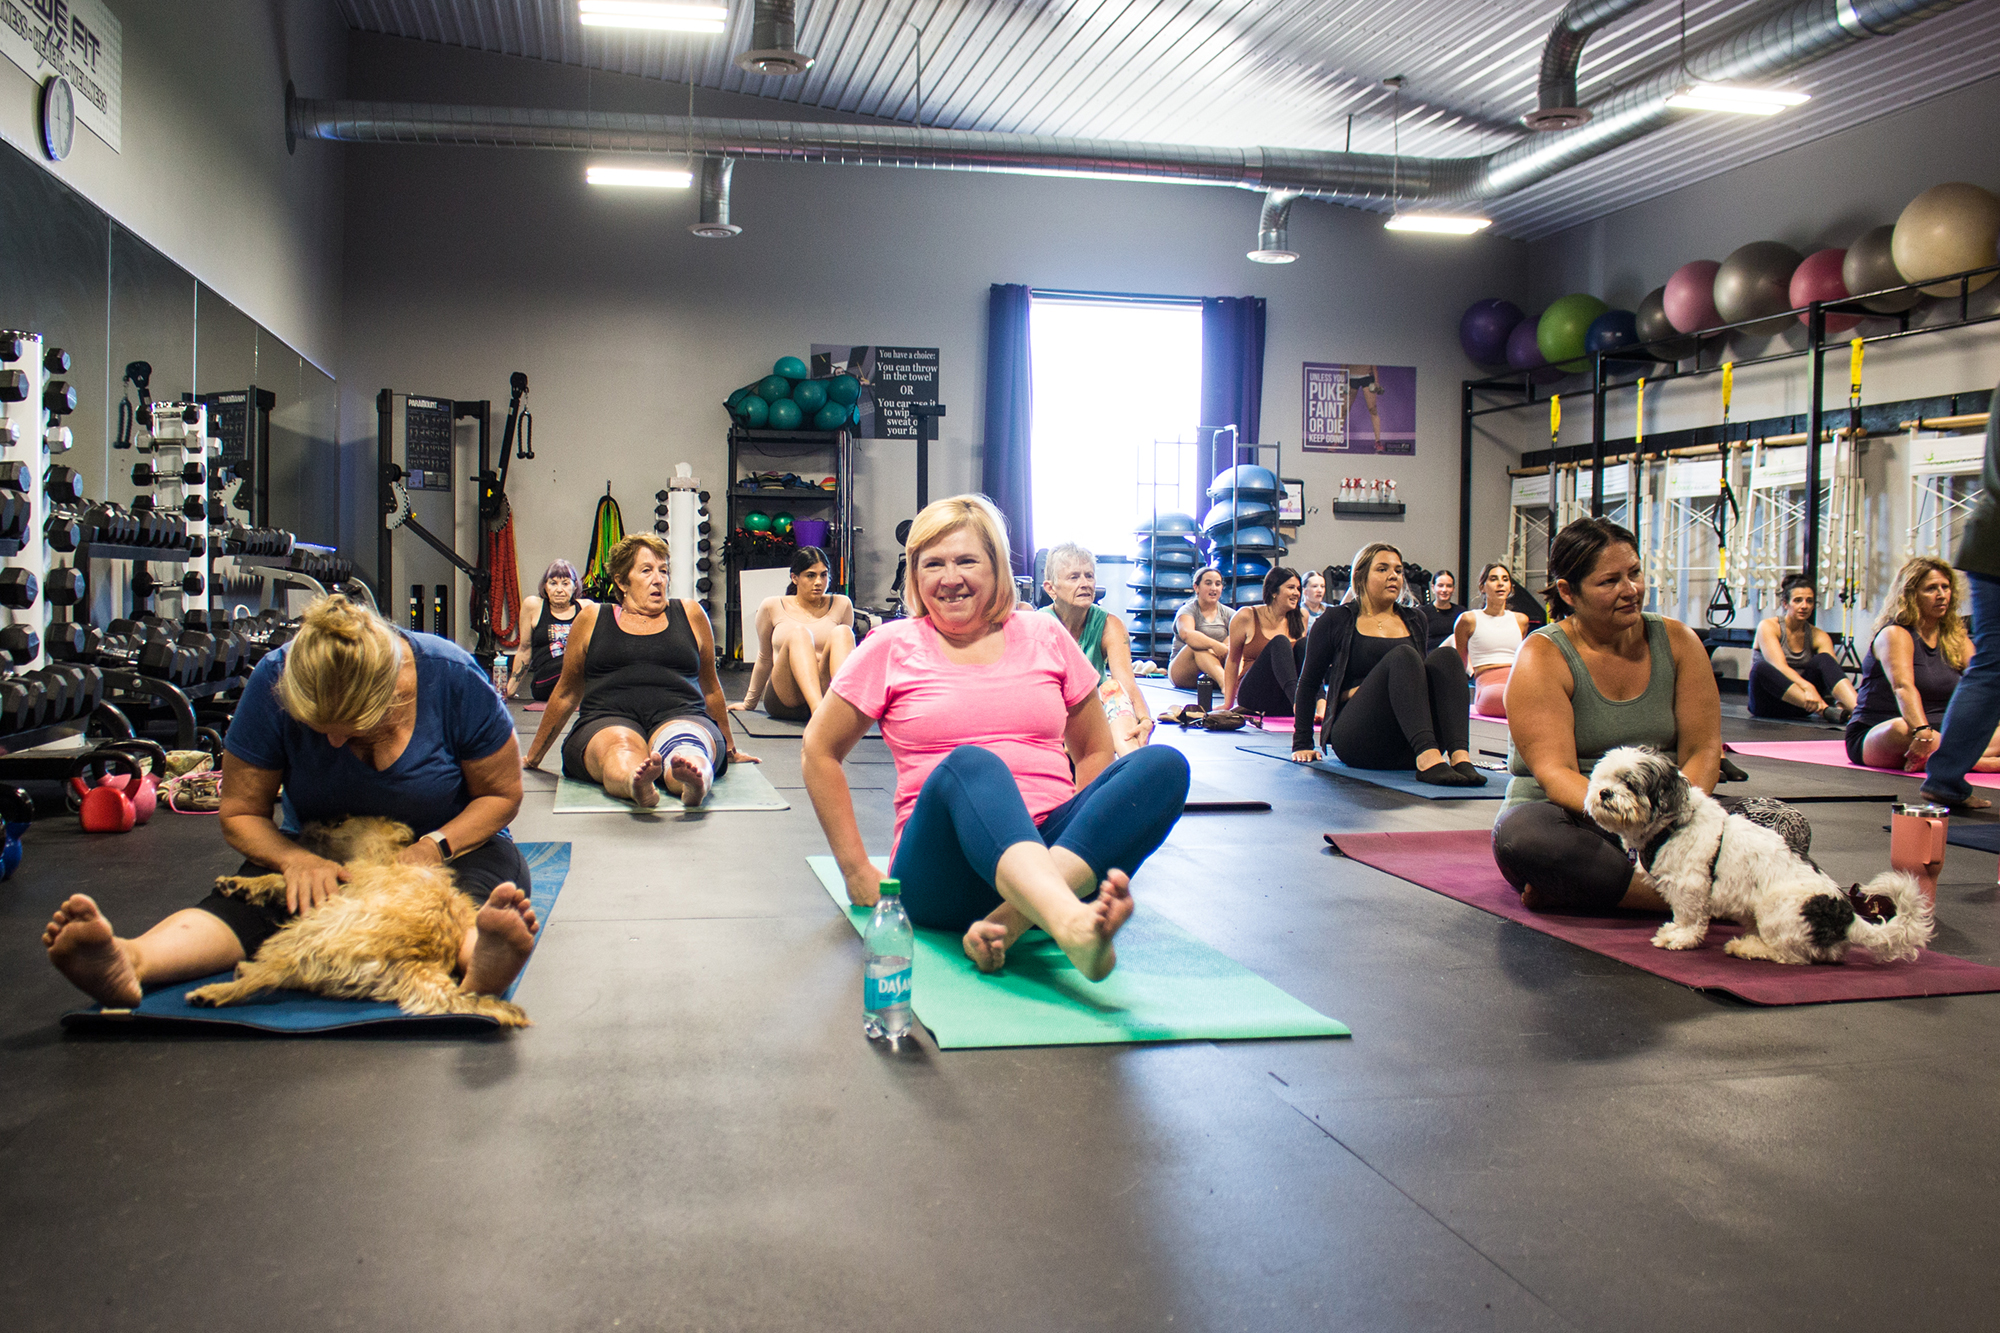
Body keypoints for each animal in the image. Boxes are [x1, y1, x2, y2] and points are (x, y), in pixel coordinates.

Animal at [186, 816, 532, 1020]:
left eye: (339, 823)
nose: (308, 824)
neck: (385, 856)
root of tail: (417, 961)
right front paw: (240, 885)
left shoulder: (338, 885)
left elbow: (279, 880)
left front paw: (244, 884)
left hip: (309, 932)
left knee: (274, 973)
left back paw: (214, 992)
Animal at [1584, 740, 1928, 960]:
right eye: (1603, 778)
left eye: (1630, 783)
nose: (1604, 793)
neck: (1673, 825)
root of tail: (1847, 919)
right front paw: (1673, 931)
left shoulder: (1690, 886)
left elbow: (1690, 919)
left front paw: (1680, 939)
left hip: (1776, 909)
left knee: (1791, 955)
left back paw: (1748, 948)